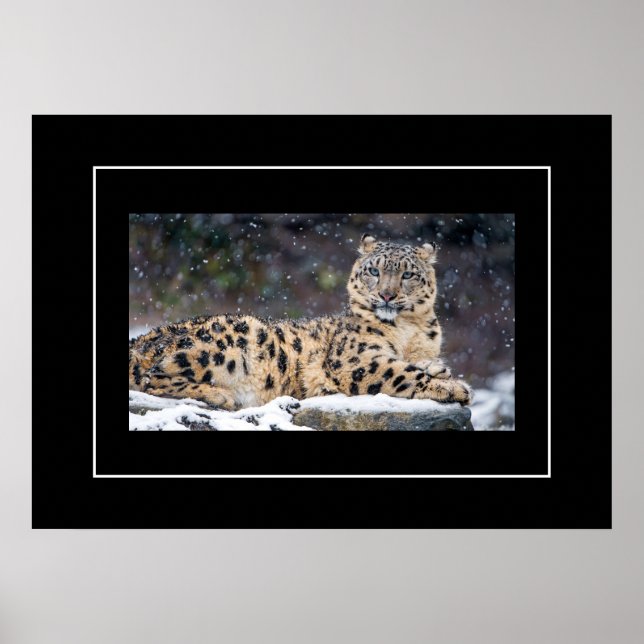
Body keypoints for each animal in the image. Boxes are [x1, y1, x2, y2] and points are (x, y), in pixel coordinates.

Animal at [129, 234, 472, 410]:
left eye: (408, 274)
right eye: (374, 271)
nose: (386, 295)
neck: (408, 331)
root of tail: (142, 338)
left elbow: (417, 363)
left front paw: (440, 369)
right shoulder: (356, 359)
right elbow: (401, 372)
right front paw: (453, 387)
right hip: (231, 341)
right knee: (152, 377)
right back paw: (220, 395)